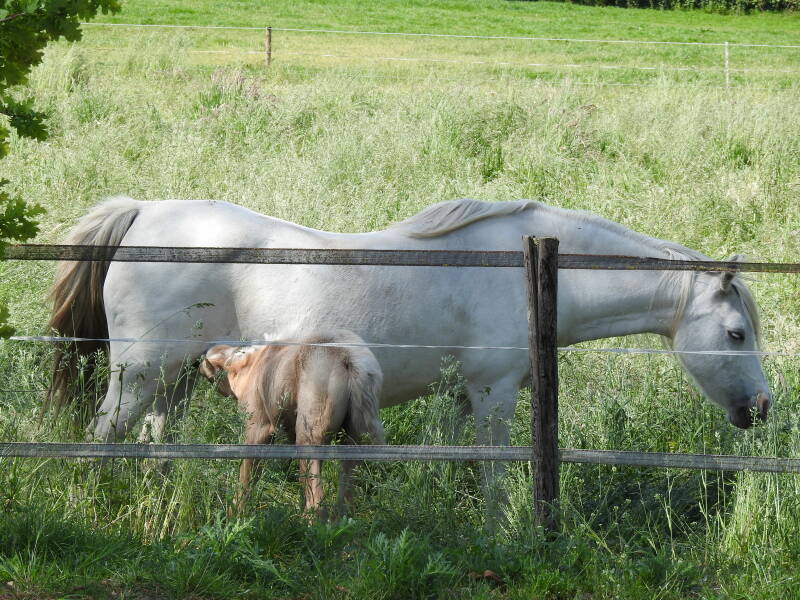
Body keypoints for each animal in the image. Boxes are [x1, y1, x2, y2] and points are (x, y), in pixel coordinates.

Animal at [198, 330, 385, 515]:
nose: (197, 363)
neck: (252, 366)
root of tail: (348, 358)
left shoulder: (257, 430)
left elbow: (246, 477)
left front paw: (235, 514)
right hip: (352, 442)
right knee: (345, 497)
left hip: (309, 438)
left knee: (316, 503)